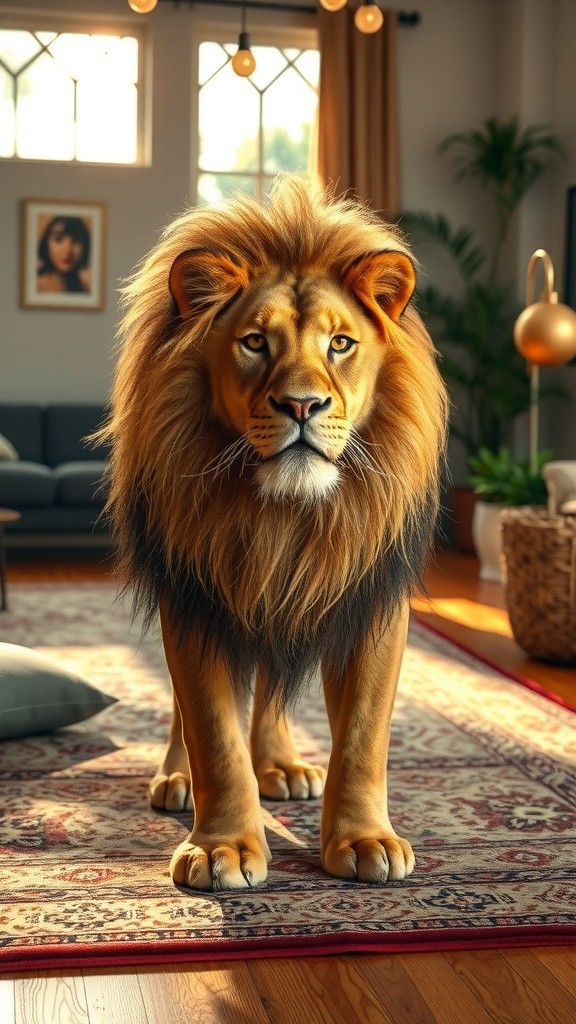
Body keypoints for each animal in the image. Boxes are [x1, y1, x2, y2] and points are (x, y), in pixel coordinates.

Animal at [99, 175, 447, 891]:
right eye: (255, 342)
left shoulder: (369, 601)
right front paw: (222, 848)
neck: (284, 518)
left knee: (272, 686)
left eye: (340, 344)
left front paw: (365, 840)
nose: (302, 405)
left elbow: (364, 737)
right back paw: (177, 777)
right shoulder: (196, 597)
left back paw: (283, 767)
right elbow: (212, 733)